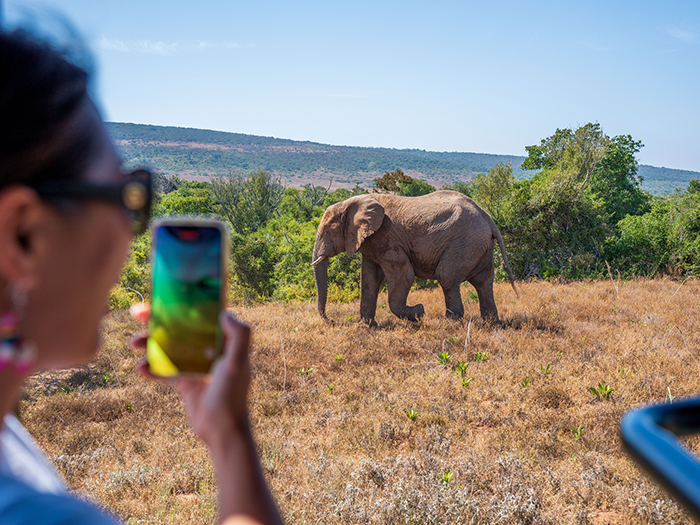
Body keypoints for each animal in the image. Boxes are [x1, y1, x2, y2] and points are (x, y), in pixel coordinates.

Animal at [310, 190, 516, 324]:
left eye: (327, 231)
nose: (331, 321)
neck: (352, 202)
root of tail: (488, 218)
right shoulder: (372, 243)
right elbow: (369, 279)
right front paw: (367, 326)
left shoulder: (387, 237)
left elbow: (404, 275)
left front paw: (419, 312)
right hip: (480, 245)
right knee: (483, 281)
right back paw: (490, 323)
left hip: (466, 242)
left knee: (447, 276)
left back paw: (450, 322)